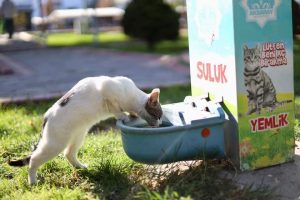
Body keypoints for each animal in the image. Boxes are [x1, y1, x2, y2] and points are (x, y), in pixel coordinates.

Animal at [7, 76, 162, 184]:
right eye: (158, 115)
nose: (160, 124)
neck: (131, 97)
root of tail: (46, 117)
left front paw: (132, 115)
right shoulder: (106, 90)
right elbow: (115, 108)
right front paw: (123, 115)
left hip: (78, 136)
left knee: (68, 154)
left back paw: (80, 167)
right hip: (55, 144)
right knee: (33, 159)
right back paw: (33, 181)